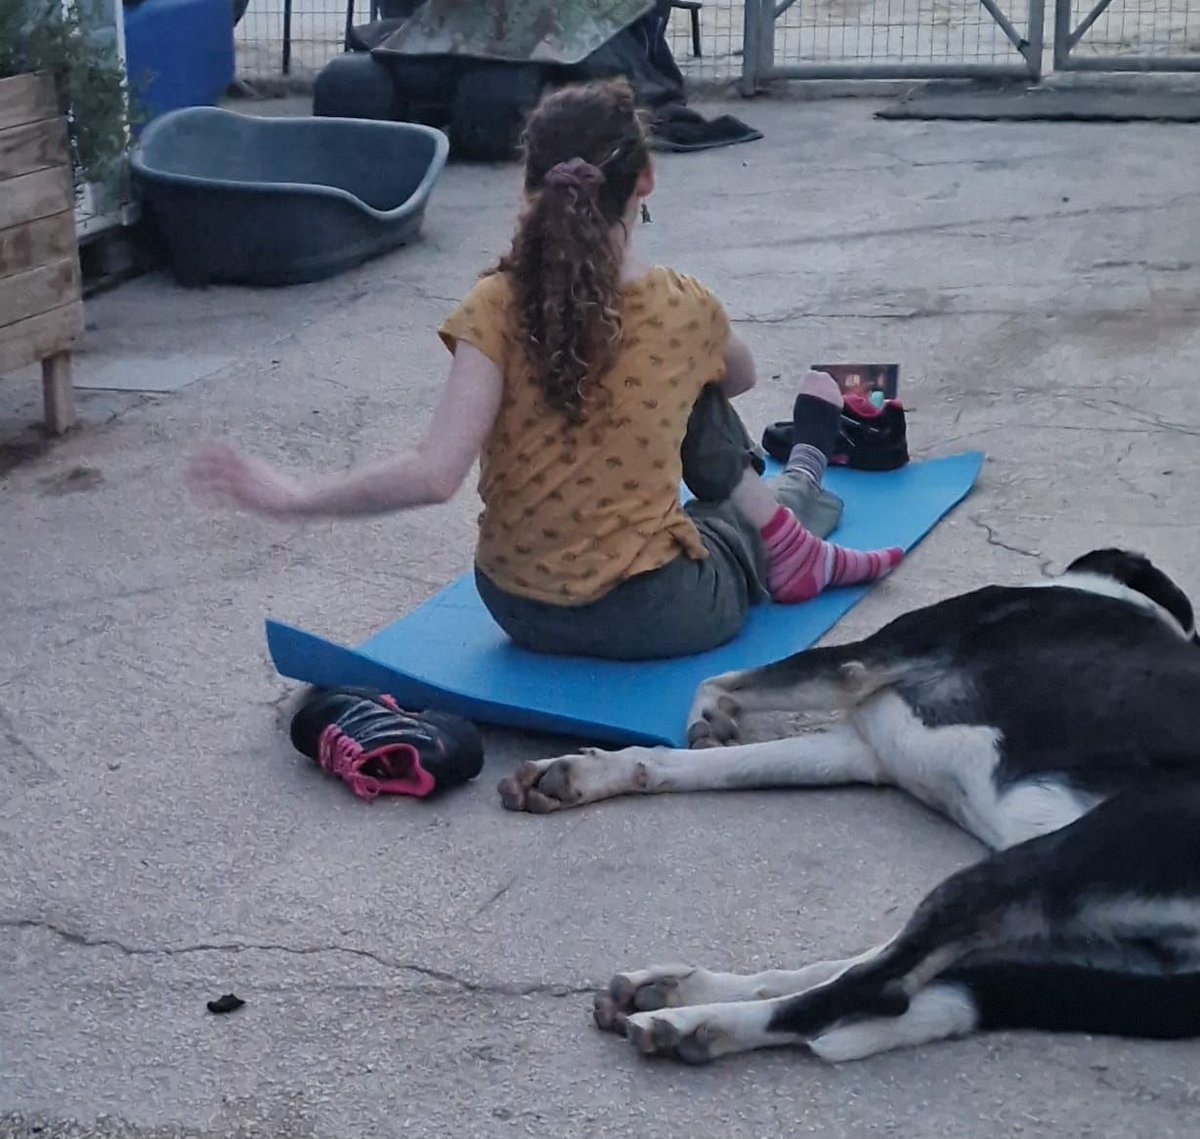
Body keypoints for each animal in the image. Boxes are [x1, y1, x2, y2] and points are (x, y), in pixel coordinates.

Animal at [496, 552, 1200, 1065]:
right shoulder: (859, 749)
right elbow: (699, 762)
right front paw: (587, 772)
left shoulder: (860, 664)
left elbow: (718, 680)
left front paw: (703, 718)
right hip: (1081, 929)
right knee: (876, 971)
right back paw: (677, 989)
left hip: (1053, 861)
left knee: (873, 988)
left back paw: (695, 1019)